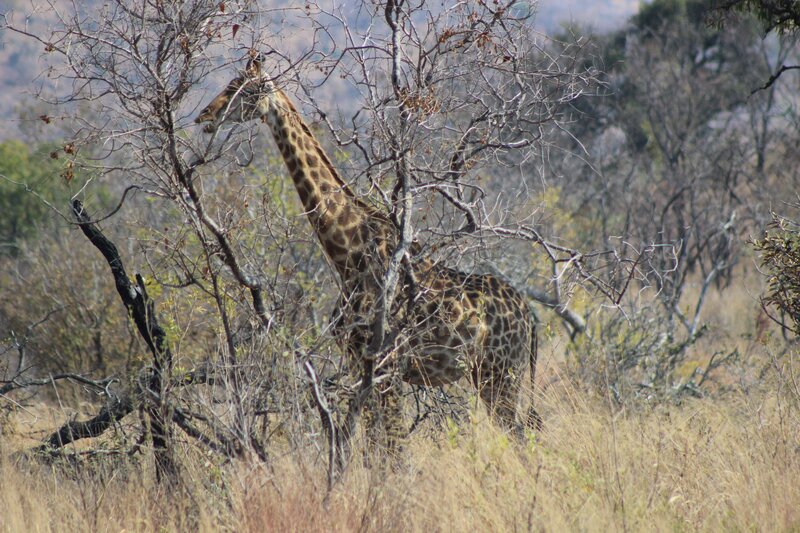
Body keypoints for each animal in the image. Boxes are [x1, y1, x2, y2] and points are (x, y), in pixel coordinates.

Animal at [195, 54, 541, 448]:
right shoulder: (361, 365)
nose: (204, 116)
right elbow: (374, 447)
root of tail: (530, 317)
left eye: (244, 89)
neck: (348, 255)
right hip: (494, 373)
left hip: (500, 371)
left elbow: (392, 448)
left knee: (519, 436)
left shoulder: (386, 366)